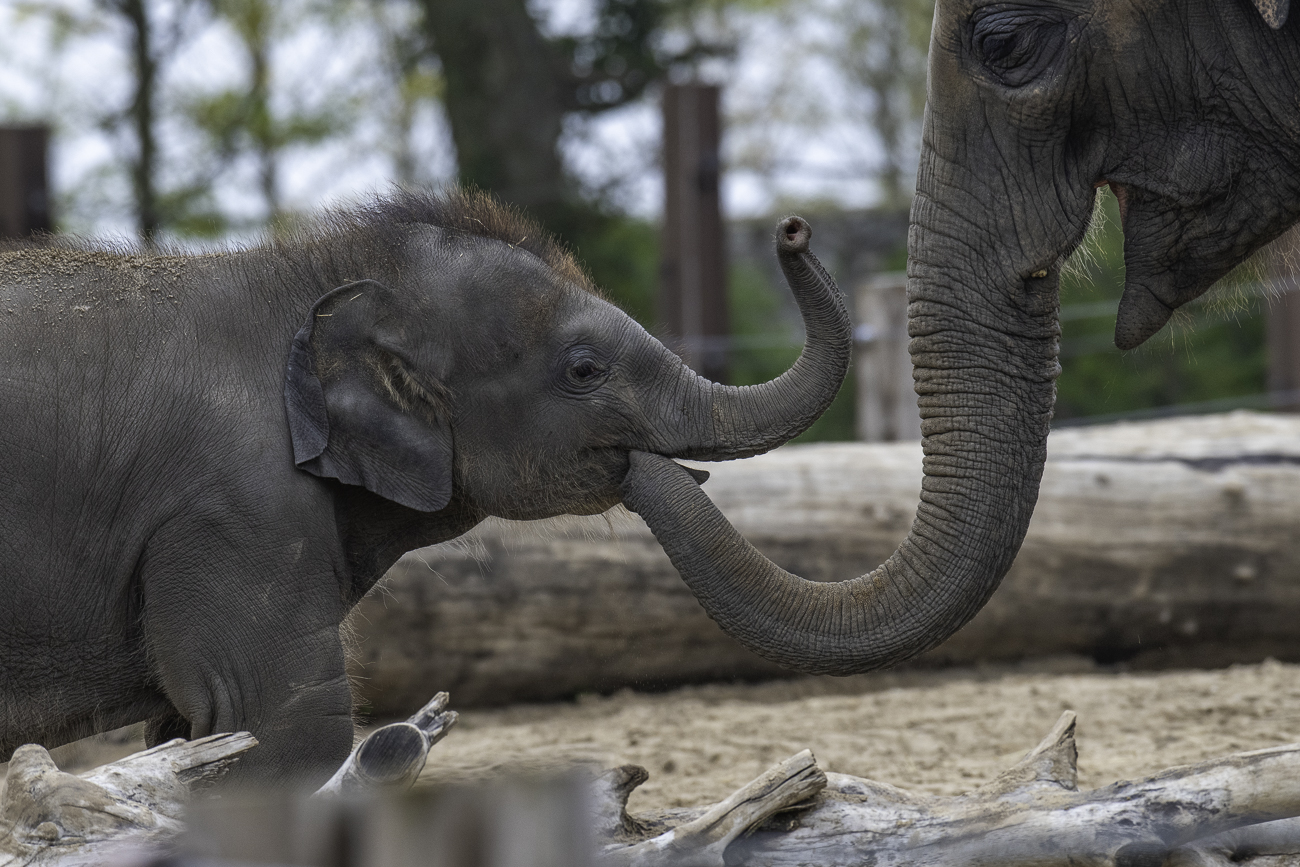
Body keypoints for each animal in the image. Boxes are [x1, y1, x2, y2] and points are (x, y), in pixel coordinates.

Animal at [0, 189, 852, 785]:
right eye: (584, 370)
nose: (794, 228)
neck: (308, 276)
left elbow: (187, 736)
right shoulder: (235, 514)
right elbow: (284, 725)